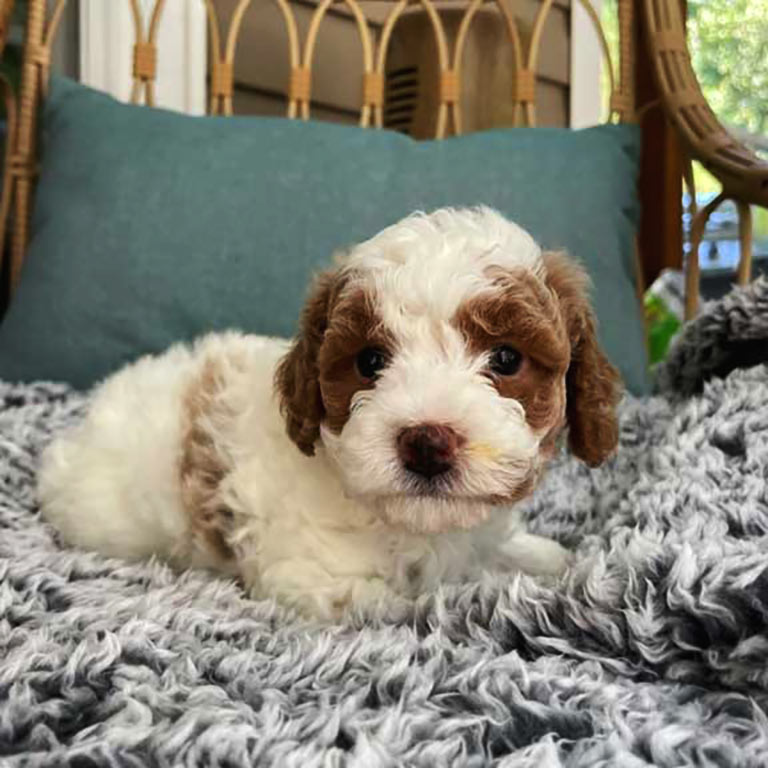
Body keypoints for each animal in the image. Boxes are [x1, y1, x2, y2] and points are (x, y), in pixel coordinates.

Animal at [39, 207, 620, 620]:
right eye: (370, 362)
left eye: (506, 359)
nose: (426, 442)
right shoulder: (321, 582)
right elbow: (427, 600)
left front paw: (548, 557)